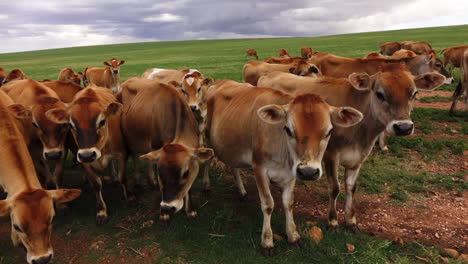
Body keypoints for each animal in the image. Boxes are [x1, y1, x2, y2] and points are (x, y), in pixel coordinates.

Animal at [46, 85, 130, 225]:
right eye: (71, 125)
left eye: (102, 121)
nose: (87, 155)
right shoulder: (84, 161)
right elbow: (96, 184)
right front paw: (101, 211)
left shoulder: (121, 154)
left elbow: (122, 177)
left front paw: (129, 196)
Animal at [121, 81, 215, 221]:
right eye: (160, 171)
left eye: (186, 173)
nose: (168, 207)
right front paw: (163, 214)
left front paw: (190, 210)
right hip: (129, 138)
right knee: (134, 155)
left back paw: (151, 181)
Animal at [207, 79, 364, 255]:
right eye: (288, 129)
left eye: (329, 131)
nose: (309, 172)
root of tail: (220, 82)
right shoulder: (259, 167)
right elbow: (268, 204)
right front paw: (267, 241)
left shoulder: (292, 171)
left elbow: (288, 202)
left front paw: (293, 235)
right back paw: (206, 185)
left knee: (234, 166)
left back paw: (241, 191)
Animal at [260, 62, 446, 231]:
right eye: (380, 94)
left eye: (414, 93)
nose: (403, 127)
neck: (361, 132)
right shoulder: (331, 154)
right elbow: (335, 188)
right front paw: (333, 220)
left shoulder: (360, 156)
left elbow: (351, 187)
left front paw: (351, 220)